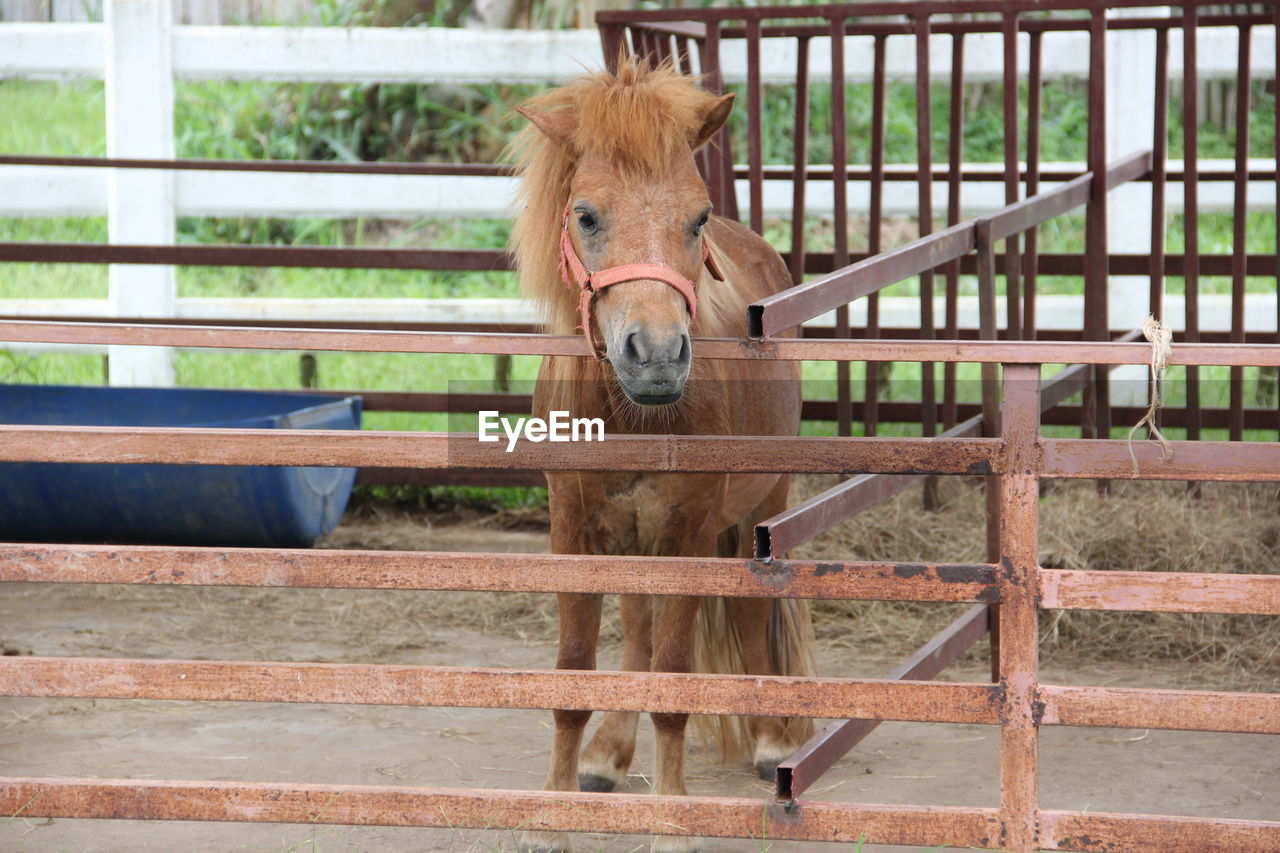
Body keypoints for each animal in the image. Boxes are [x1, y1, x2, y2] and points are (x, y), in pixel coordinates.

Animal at [506, 56, 808, 845]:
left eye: (695, 217)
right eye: (585, 215)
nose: (658, 355)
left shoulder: (690, 532)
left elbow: (673, 678)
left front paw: (671, 820)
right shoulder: (574, 531)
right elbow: (575, 674)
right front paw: (554, 810)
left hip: (759, 506)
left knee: (745, 617)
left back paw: (771, 738)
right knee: (637, 631)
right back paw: (608, 755)